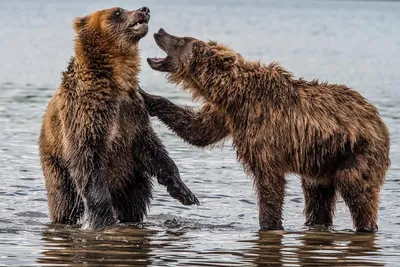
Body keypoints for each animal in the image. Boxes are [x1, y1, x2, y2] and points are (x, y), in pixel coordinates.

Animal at [38, 8, 198, 230]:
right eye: (117, 12)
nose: (144, 9)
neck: (117, 78)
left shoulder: (132, 114)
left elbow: (153, 149)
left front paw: (185, 192)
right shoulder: (86, 114)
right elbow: (88, 161)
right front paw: (103, 218)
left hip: (130, 177)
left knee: (134, 203)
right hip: (55, 162)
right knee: (63, 200)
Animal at [141, 28, 390, 232]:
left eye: (183, 39)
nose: (160, 31)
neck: (233, 94)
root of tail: (377, 117)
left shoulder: (262, 127)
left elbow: (269, 182)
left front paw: (269, 223)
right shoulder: (226, 115)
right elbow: (198, 130)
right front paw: (147, 97)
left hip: (357, 150)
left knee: (357, 191)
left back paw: (365, 225)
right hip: (323, 160)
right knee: (317, 196)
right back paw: (316, 223)